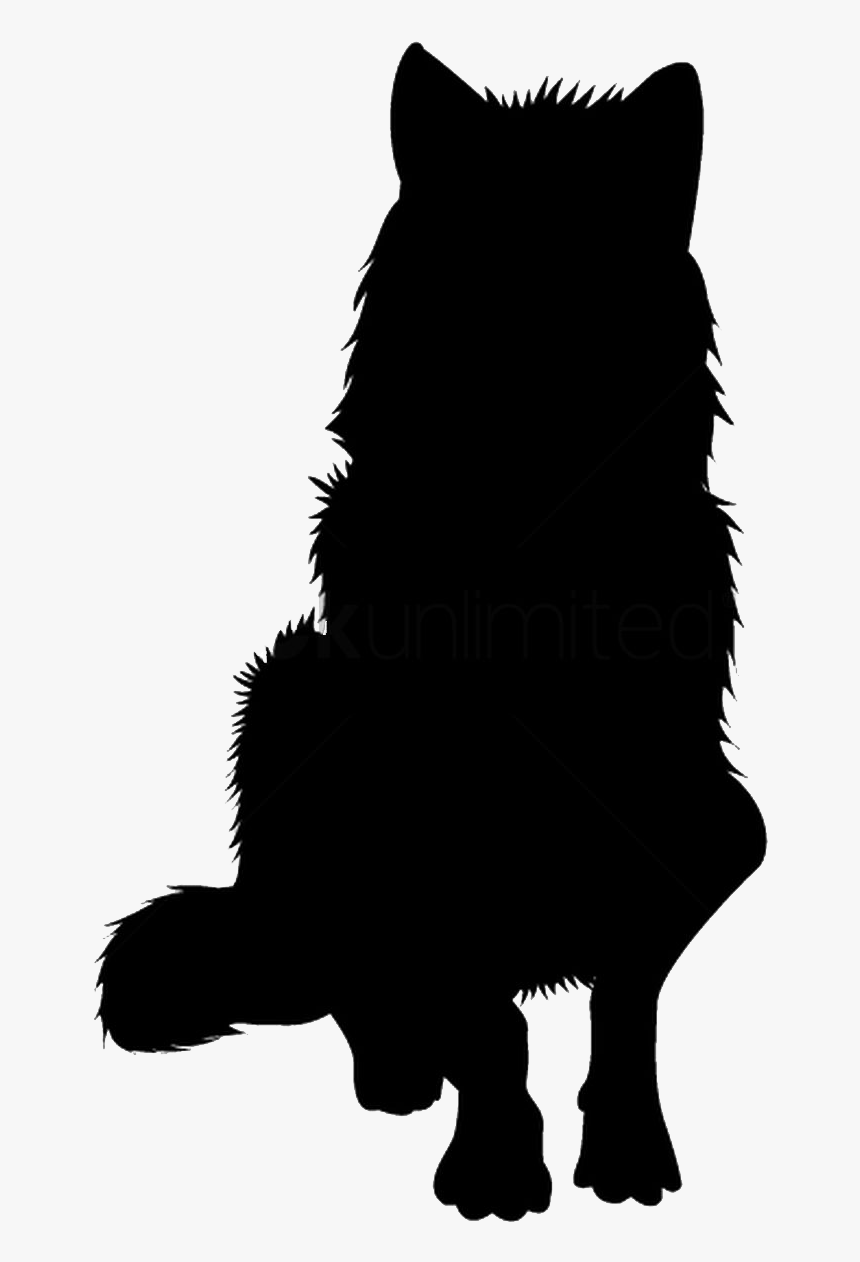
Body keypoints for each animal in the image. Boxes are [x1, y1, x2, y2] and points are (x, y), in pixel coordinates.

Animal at [97, 44, 767, 1220]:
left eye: (589, 245)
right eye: (482, 240)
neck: (528, 546)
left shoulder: (690, 816)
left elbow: (626, 991)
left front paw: (624, 1147)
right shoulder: (422, 810)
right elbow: (485, 1017)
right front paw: (496, 1160)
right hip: (291, 692)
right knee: (353, 972)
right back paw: (400, 1068)